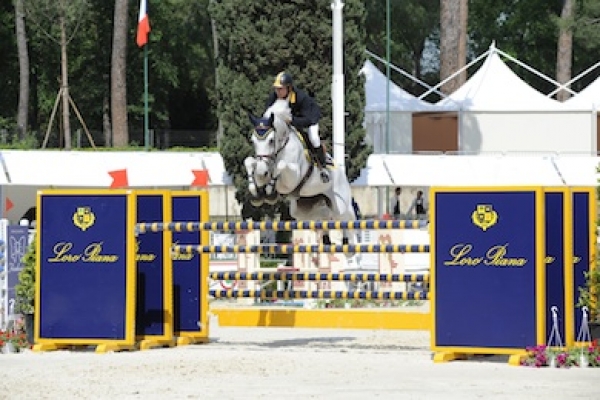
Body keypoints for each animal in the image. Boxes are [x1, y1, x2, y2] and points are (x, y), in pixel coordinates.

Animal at [244, 98, 356, 245]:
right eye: (253, 141)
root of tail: (342, 174)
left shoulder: (291, 179)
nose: (262, 171)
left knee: (348, 225)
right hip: (307, 211)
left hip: (340, 208)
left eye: (271, 140)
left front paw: (269, 192)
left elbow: (281, 165)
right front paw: (255, 193)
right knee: (324, 221)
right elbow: (248, 162)